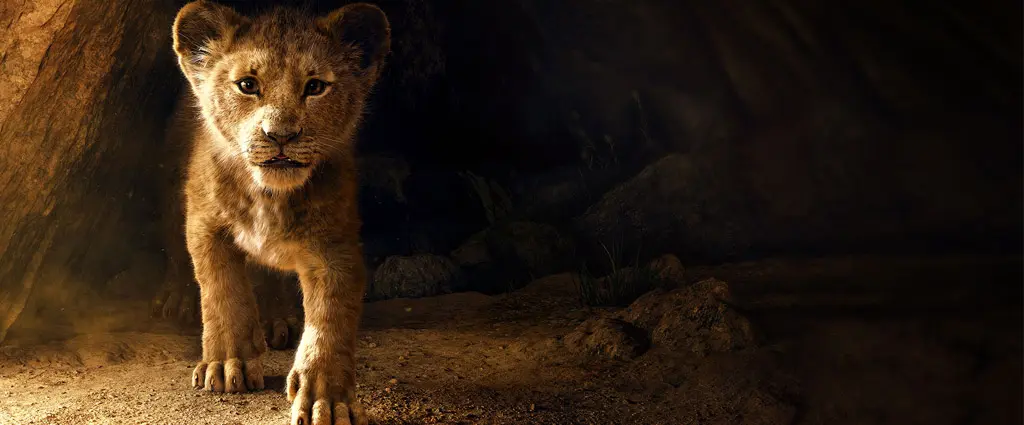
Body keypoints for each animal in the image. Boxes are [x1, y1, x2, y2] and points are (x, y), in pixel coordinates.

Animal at [170, 2, 390, 424]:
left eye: (315, 87)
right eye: (247, 85)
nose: (281, 135)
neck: (269, 195)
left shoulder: (335, 246)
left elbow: (330, 319)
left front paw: (327, 398)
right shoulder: (205, 225)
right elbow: (222, 292)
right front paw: (228, 364)